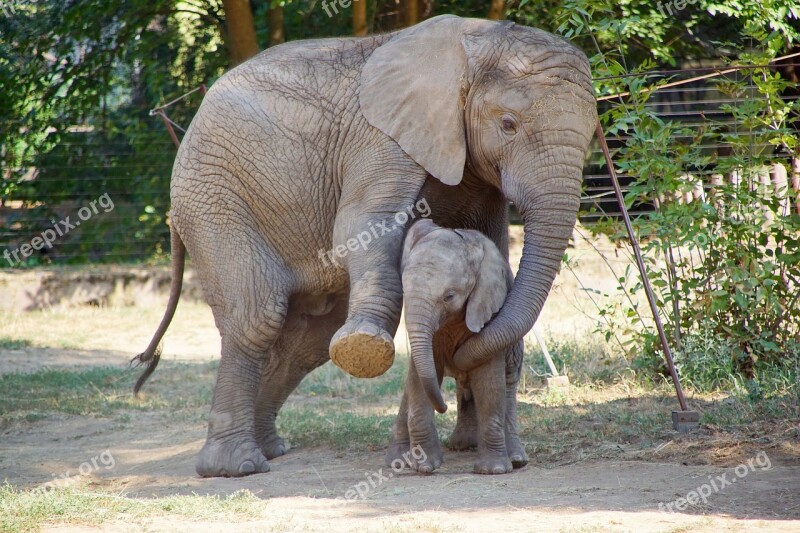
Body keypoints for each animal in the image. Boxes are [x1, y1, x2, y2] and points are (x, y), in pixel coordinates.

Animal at [390, 218, 520, 476]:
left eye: (449, 296)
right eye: (403, 291)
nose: (443, 408)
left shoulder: (491, 311)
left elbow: (489, 379)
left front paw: (493, 470)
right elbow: (420, 377)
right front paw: (424, 467)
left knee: (509, 383)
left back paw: (517, 459)